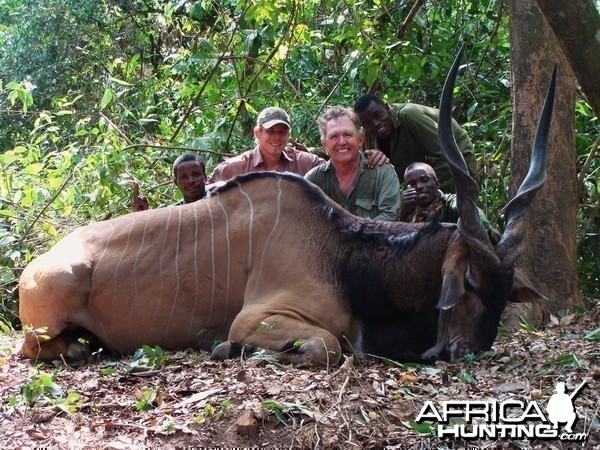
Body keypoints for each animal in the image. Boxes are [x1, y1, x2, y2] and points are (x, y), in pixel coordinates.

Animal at [16, 49, 556, 366]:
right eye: (469, 282)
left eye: (506, 289)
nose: (472, 350)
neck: (345, 255)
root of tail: (33, 269)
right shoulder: (256, 318)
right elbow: (327, 347)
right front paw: (234, 351)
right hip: (48, 314)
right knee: (36, 349)